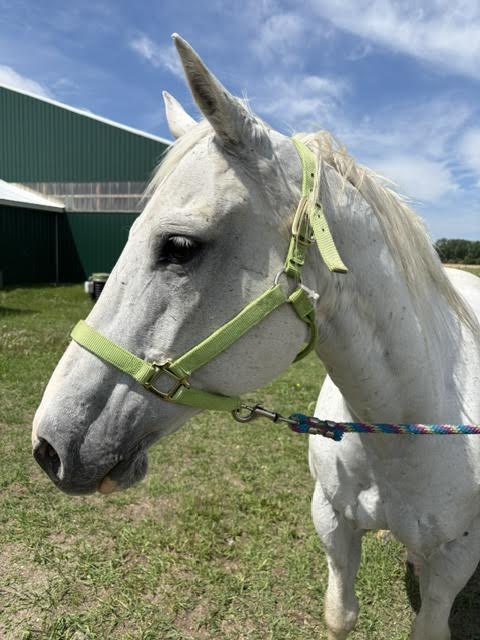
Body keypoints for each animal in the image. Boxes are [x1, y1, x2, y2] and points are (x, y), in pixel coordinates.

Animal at [32, 35, 480, 640]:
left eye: (179, 246)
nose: (48, 448)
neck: (406, 429)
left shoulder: (456, 559)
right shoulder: (332, 523)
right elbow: (340, 615)